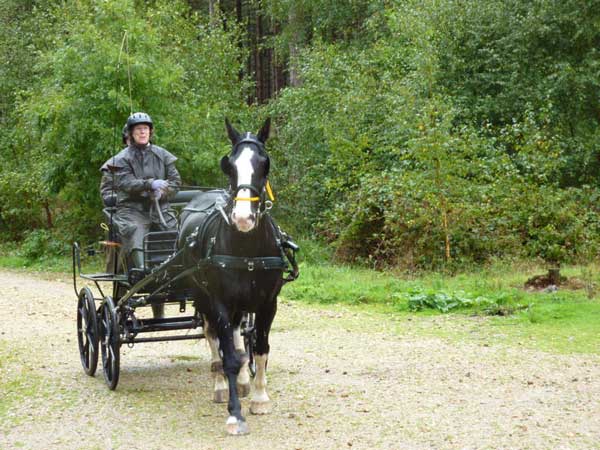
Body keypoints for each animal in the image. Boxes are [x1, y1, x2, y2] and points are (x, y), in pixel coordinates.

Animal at [176, 118, 290, 434]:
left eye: (264, 163)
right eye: (230, 165)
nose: (242, 218)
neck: (247, 247)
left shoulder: (268, 304)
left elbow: (260, 350)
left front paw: (260, 398)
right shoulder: (221, 304)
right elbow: (227, 356)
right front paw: (235, 414)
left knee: (240, 340)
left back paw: (241, 383)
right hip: (203, 297)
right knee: (213, 339)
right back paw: (219, 386)